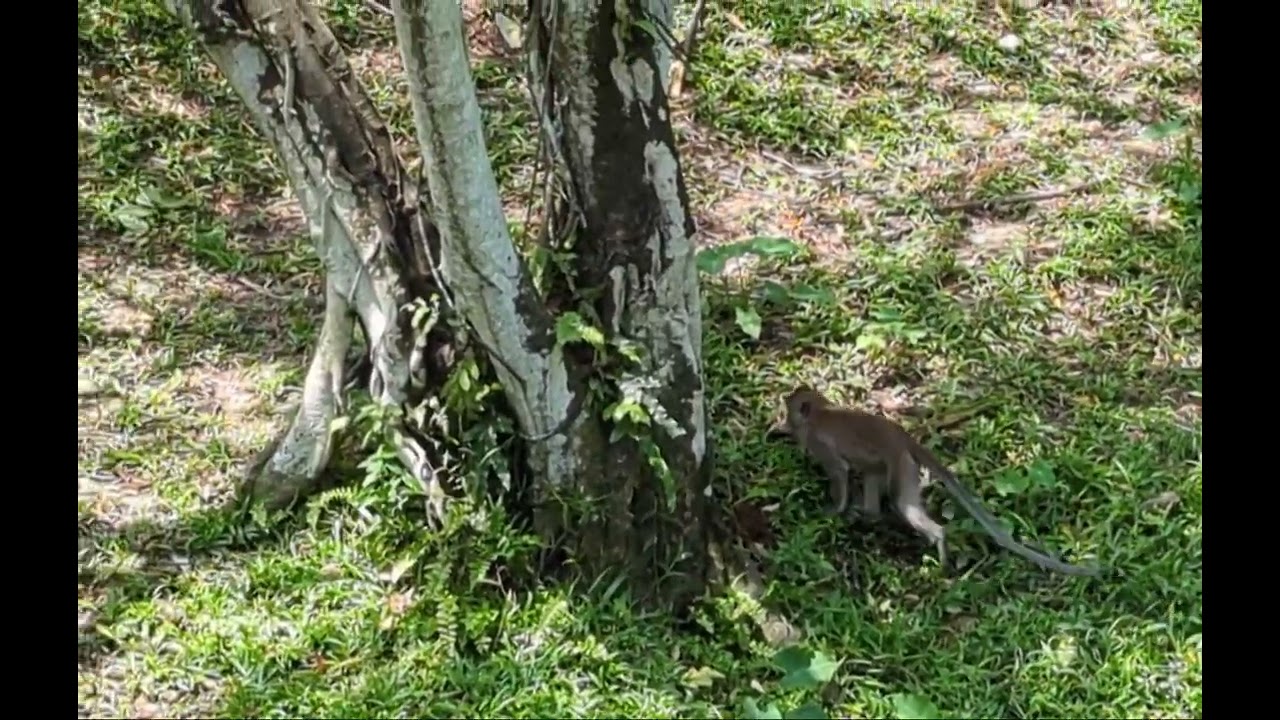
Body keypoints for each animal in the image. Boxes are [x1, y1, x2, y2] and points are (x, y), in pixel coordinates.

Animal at [769, 386, 1101, 577]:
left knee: (904, 504)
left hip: (901, 464)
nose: (784, 416)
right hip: (894, 462)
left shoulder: (819, 443)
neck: (820, 412)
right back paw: (869, 514)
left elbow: (839, 471)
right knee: (876, 478)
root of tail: (902, 436)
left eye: (790, 407)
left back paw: (938, 544)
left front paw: (831, 511)